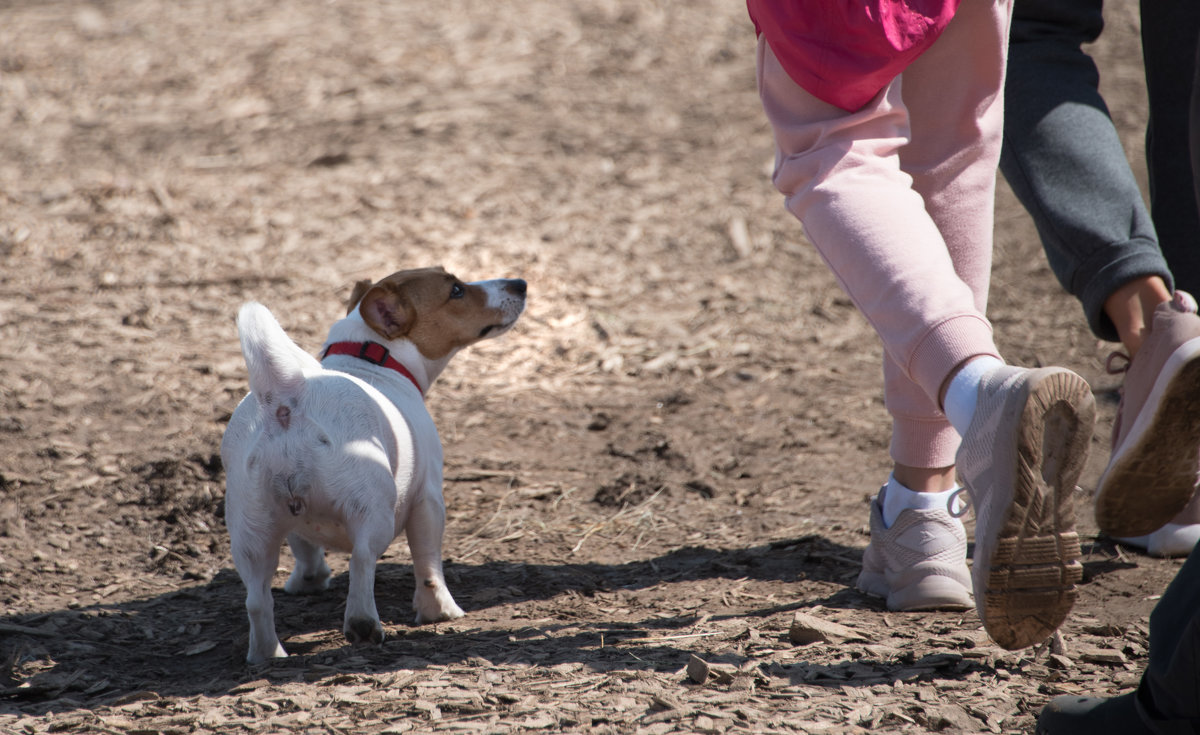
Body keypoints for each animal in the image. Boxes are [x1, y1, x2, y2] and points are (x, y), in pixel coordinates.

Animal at [223, 266, 528, 662]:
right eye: (457, 291)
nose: (520, 284)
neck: (372, 356)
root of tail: (288, 398)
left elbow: (304, 546)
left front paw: (309, 580)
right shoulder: (428, 499)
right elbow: (428, 562)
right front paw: (439, 610)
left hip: (250, 533)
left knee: (257, 600)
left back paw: (267, 654)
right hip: (375, 509)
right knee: (362, 561)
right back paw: (363, 624)